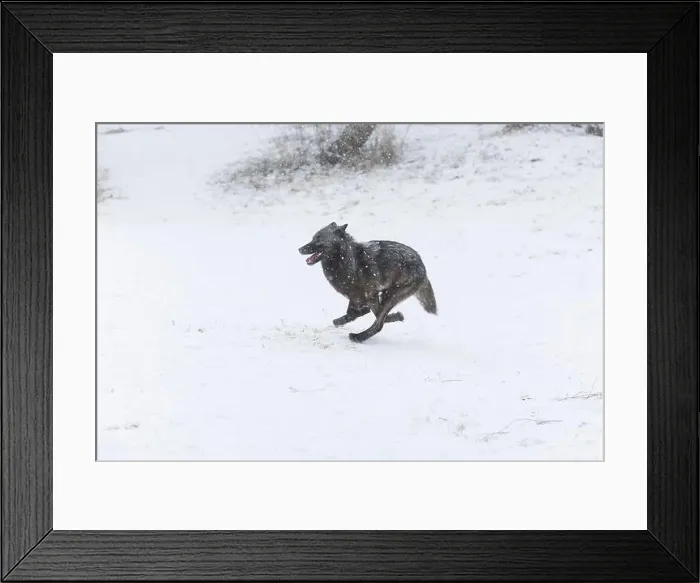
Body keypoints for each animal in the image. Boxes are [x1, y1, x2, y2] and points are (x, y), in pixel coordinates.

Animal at [298, 222, 437, 343]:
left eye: (318, 239)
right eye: (313, 238)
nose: (299, 249)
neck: (348, 261)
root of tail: (422, 266)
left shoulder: (370, 295)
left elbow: (366, 313)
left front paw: (396, 316)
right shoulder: (356, 296)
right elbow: (353, 313)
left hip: (390, 296)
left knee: (378, 324)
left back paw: (358, 337)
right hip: (386, 295)